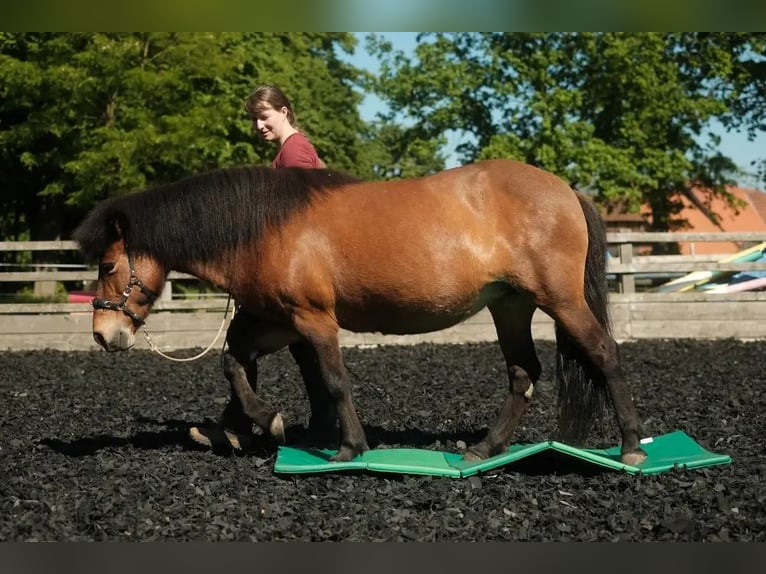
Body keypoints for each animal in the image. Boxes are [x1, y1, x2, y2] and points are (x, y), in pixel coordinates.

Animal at [72, 161, 648, 468]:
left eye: (107, 265)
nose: (103, 333)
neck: (266, 226)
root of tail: (566, 189)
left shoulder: (313, 319)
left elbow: (334, 380)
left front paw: (347, 447)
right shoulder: (277, 321)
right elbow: (234, 363)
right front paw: (266, 422)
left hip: (561, 301)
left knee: (605, 355)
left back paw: (631, 447)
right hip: (510, 306)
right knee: (523, 373)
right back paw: (485, 448)